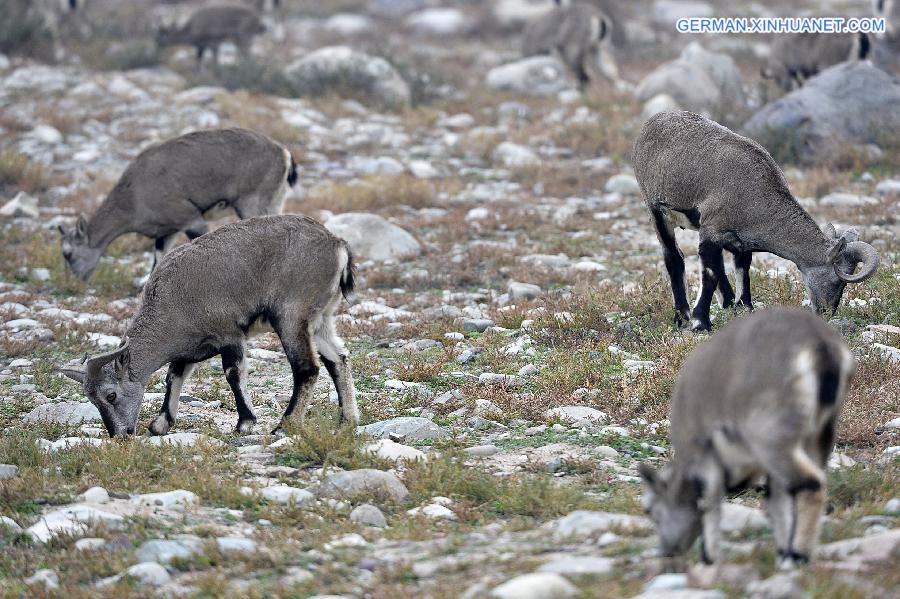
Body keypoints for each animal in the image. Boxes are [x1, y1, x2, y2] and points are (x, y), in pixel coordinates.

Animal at [57, 214, 356, 436]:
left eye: (110, 395)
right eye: (91, 399)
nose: (120, 435)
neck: (171, 301)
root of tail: (337, 245)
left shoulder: (229, 334)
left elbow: (233, 373)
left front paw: (245, 423)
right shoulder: (190, 349)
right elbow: (173, 376)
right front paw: (160, 424)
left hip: (291, 317)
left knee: (307, 368)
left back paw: (285, 426)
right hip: (321, 319)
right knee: (338, 359)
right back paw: (347, 420)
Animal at [59, 127, 296, 282]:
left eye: (68, 254)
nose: (75, 283)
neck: (135, 196)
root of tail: (283, 153)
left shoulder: (191, 221)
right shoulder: (166, 233)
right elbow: (156, 266)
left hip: (251, 204)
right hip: (274, 202)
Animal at [632, 110, 880, 330]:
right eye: (839, 279)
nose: (827, 312)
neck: (754, 193)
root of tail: (651, 122)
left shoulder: (739, 241)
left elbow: (742, 269)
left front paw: (745, 308)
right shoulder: (711, 229)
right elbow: (710, 274)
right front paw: (700, 322)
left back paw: (727, 302)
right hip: (657, 212)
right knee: (674, 258)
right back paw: (681, 316)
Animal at [640, 308, 852, 568]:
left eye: (649, 510)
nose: (666, 552)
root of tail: (821, 347)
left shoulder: (704, 457)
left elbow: (710, 506)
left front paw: (709, 559)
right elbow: (778, 504)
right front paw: (782, 551)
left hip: (771, 439)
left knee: (811, 484)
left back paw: (799, 554)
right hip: (818, 434)